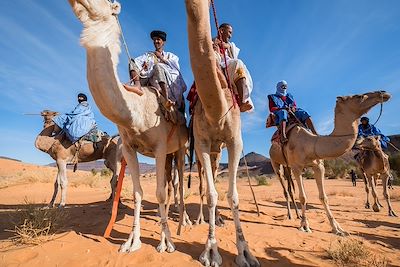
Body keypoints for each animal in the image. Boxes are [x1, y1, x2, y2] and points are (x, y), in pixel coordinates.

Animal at [67, 0, 189, 255]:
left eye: (106, 3)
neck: (135, 110)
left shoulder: (160, 146)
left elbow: (159, 192)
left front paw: (166, 243)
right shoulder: (131, 149)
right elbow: (138, 192)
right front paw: (132, 242)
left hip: (180, 149)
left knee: (178, 183)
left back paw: (184, 222)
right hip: (169, 154)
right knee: (169, 184)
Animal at [185, 1, 260, 266]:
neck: (215, 108)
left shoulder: (235, 141)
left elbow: (233, 196)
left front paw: (245, 252)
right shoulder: (202, 143)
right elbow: (211, 194)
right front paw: (210, 251)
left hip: (219, 151)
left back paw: (217, 219)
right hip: (203, 154)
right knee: (203, 185)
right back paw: (202, 219)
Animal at [268, 90, 390, 237]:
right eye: (359, 96)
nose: (383, 93)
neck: (311, 144)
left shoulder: (318, 166)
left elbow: (323, 197)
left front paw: (337, 228)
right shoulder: (297, 167)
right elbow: (303, 197)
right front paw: (305, 226)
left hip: (287, 166)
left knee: (290, 188)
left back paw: (297, 215)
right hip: (275, 163)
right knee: (285, 188)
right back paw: (290, 215)